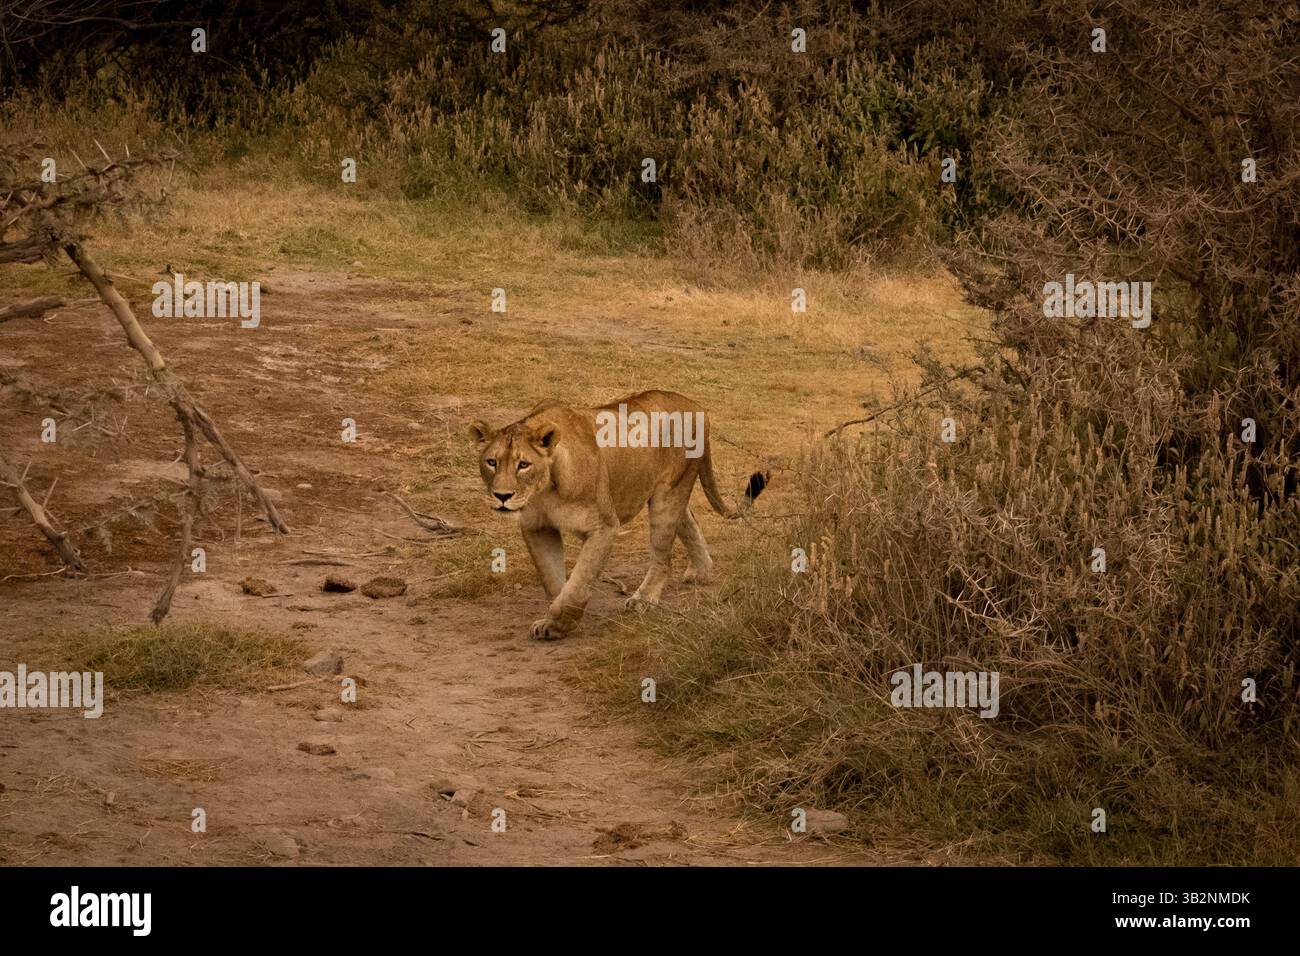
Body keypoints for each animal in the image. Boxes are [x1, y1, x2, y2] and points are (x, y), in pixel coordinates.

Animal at [469, 390, 767, 640]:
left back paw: (643, 600)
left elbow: (579, 582)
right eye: (491, 462)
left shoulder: (604, 527)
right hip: (669, 493)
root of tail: (696, 406)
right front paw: (552, 622)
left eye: (523, 465)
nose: (502, 496)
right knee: (689, 521)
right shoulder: (537, 528)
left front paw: (561, 622)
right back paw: (701, 572)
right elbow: (552, 579)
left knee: (664, 557)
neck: (545, 489)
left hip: (667, 497)